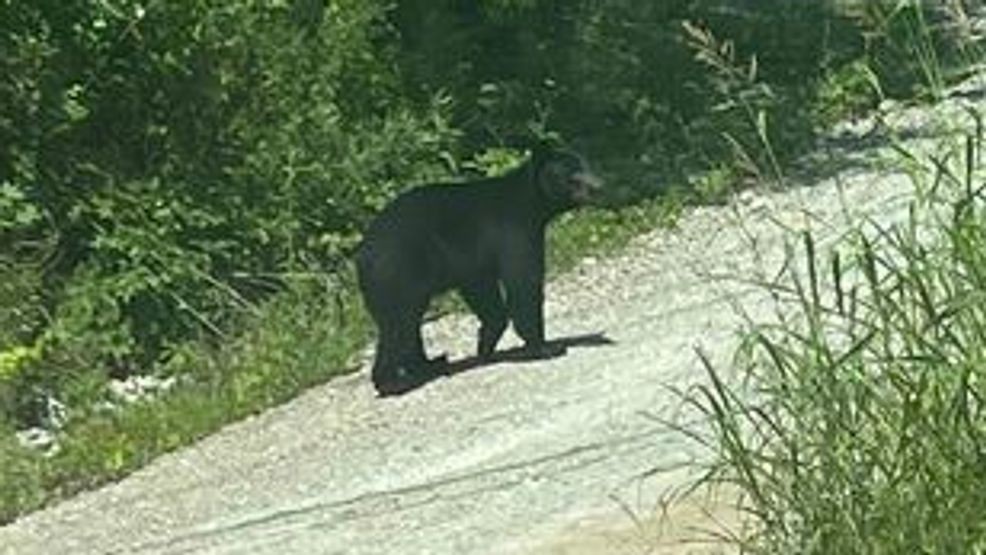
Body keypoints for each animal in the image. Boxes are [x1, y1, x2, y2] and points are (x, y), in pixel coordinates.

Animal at [356, 147, 602, 396]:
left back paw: (430, 364)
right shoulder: (514, 231)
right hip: (397, 273)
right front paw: (545, 346)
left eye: (587, 165)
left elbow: (484, 293)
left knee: (408, 326)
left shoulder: (474, 263)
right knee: (398, 326)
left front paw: (485, 344)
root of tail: (363, 255)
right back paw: (393, 382)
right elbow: (523, 283)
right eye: (573, 174)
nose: (598, 187)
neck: (530, 202)